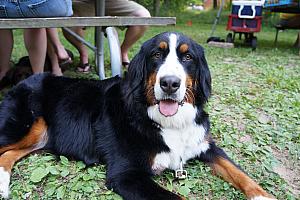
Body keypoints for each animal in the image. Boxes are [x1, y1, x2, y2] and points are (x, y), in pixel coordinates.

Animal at [0, 32, 276, 199]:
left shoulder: (205, 145)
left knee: (8, 155)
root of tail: (27, 77)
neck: (168, 123)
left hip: (38, 135)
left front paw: (265, 196)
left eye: (187, 57)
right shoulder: (127, 174)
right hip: (24, 125)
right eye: (156, 54)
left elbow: (241, 174)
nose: (170, 83)